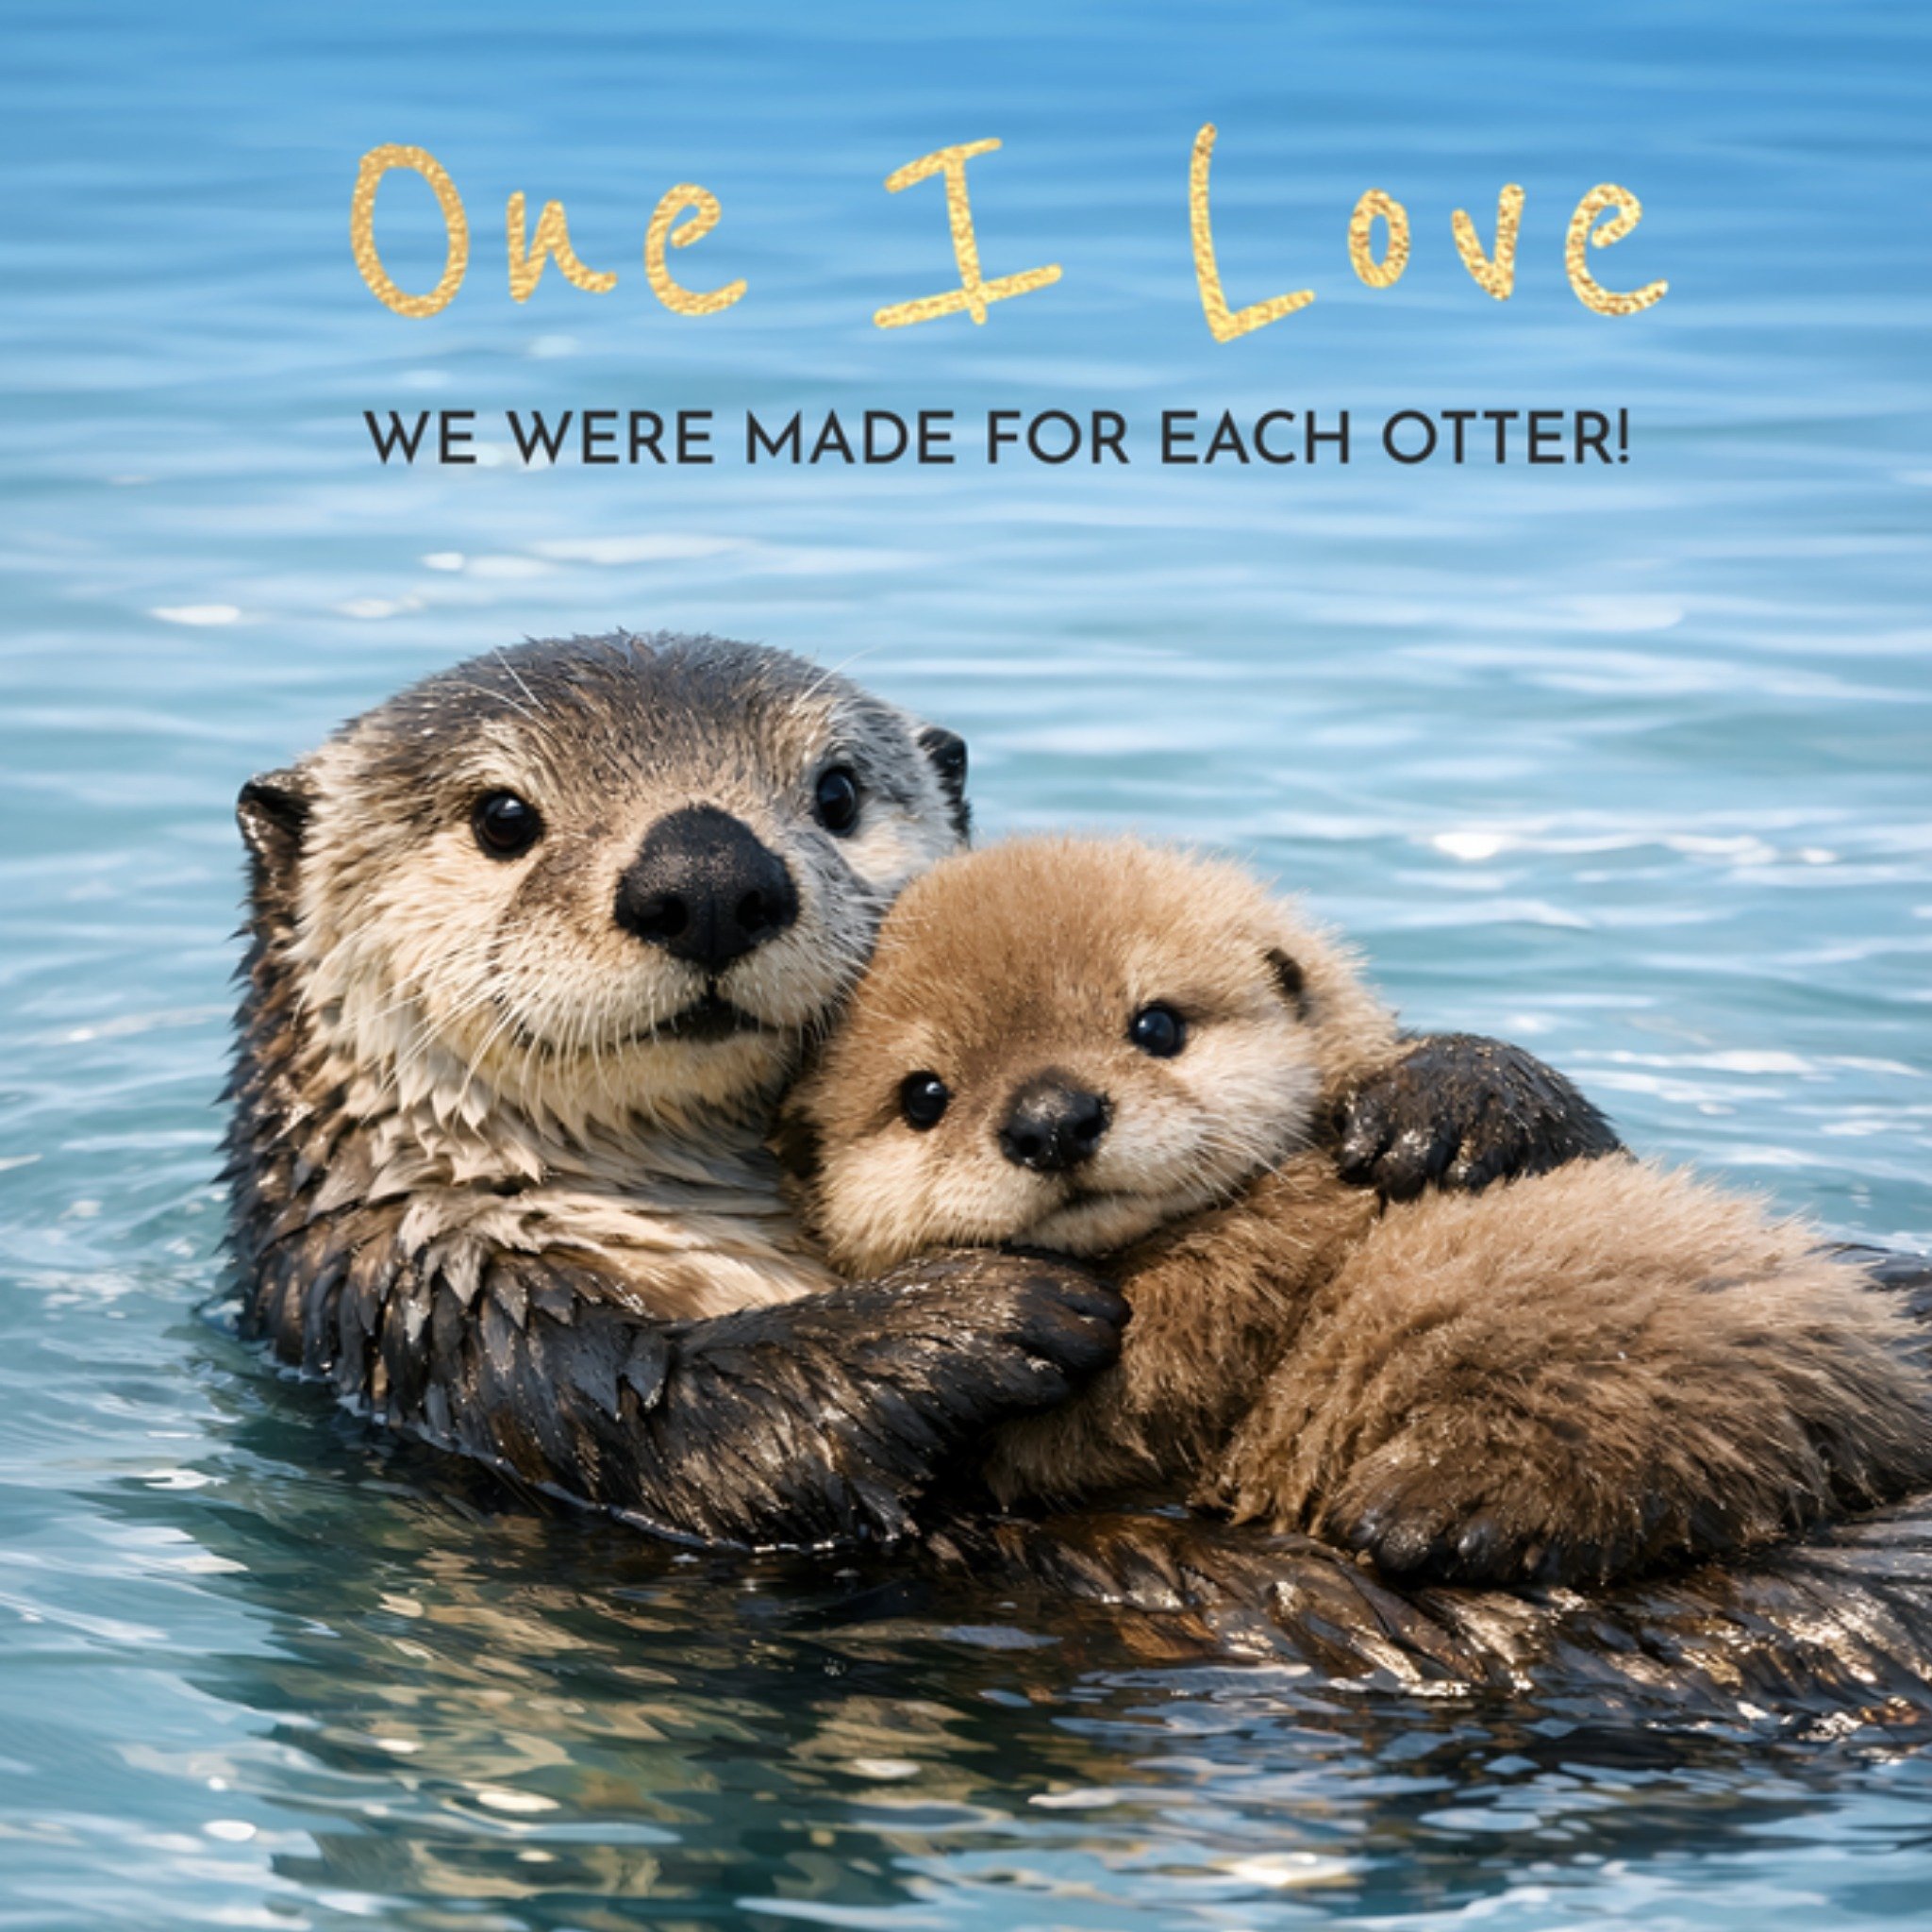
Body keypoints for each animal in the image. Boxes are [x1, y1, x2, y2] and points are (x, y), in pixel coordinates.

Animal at [226, 632, 1618, 1548]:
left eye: (836, 790)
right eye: (502, 816)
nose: (707, 873)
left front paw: (1458, 1097)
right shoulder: (449, 1312)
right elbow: (689, 1429)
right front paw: (971, 1314)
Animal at [789, 835, 1932, 1586]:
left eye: (1155, 1024)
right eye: (923, 1095)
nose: (1051, 1118)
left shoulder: (1216, 1298)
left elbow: (1121, 1408)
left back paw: (1448, 1504)